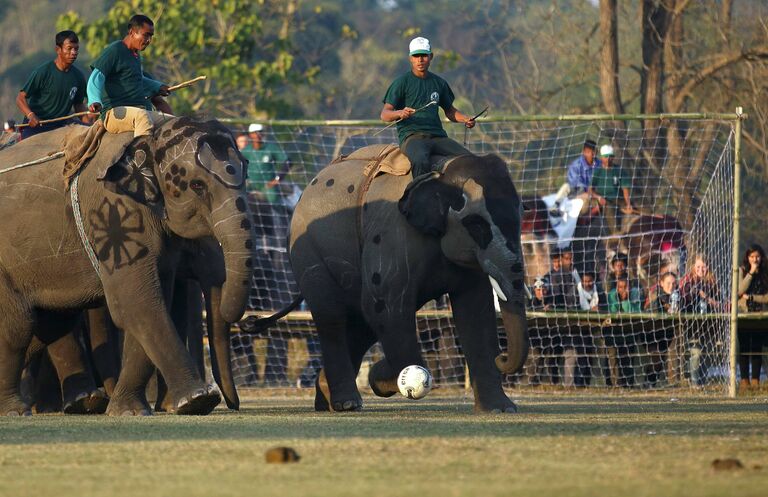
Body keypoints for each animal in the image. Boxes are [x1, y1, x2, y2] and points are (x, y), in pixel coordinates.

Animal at [0, 117, 255, 414]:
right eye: (197, 186)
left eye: (246, 172)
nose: (230, 403)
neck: (151, 133)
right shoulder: (114, 216)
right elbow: (136, 303)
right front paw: (197, 400)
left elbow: (148, 303)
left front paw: (129, 409)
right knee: (18, 325)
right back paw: (20, 409)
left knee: (51, 323)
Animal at [286, 145, 528, 412]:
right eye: (476, 225)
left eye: (522, 217)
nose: (502, 357)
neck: (443, 170)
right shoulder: (393, 236)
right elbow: (387, 307)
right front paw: (386, 378)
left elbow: (476, 313)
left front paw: (501, 409)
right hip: (308, 251)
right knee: (333, 317)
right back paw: (346, 402)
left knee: (362, 323)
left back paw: (327, 397)